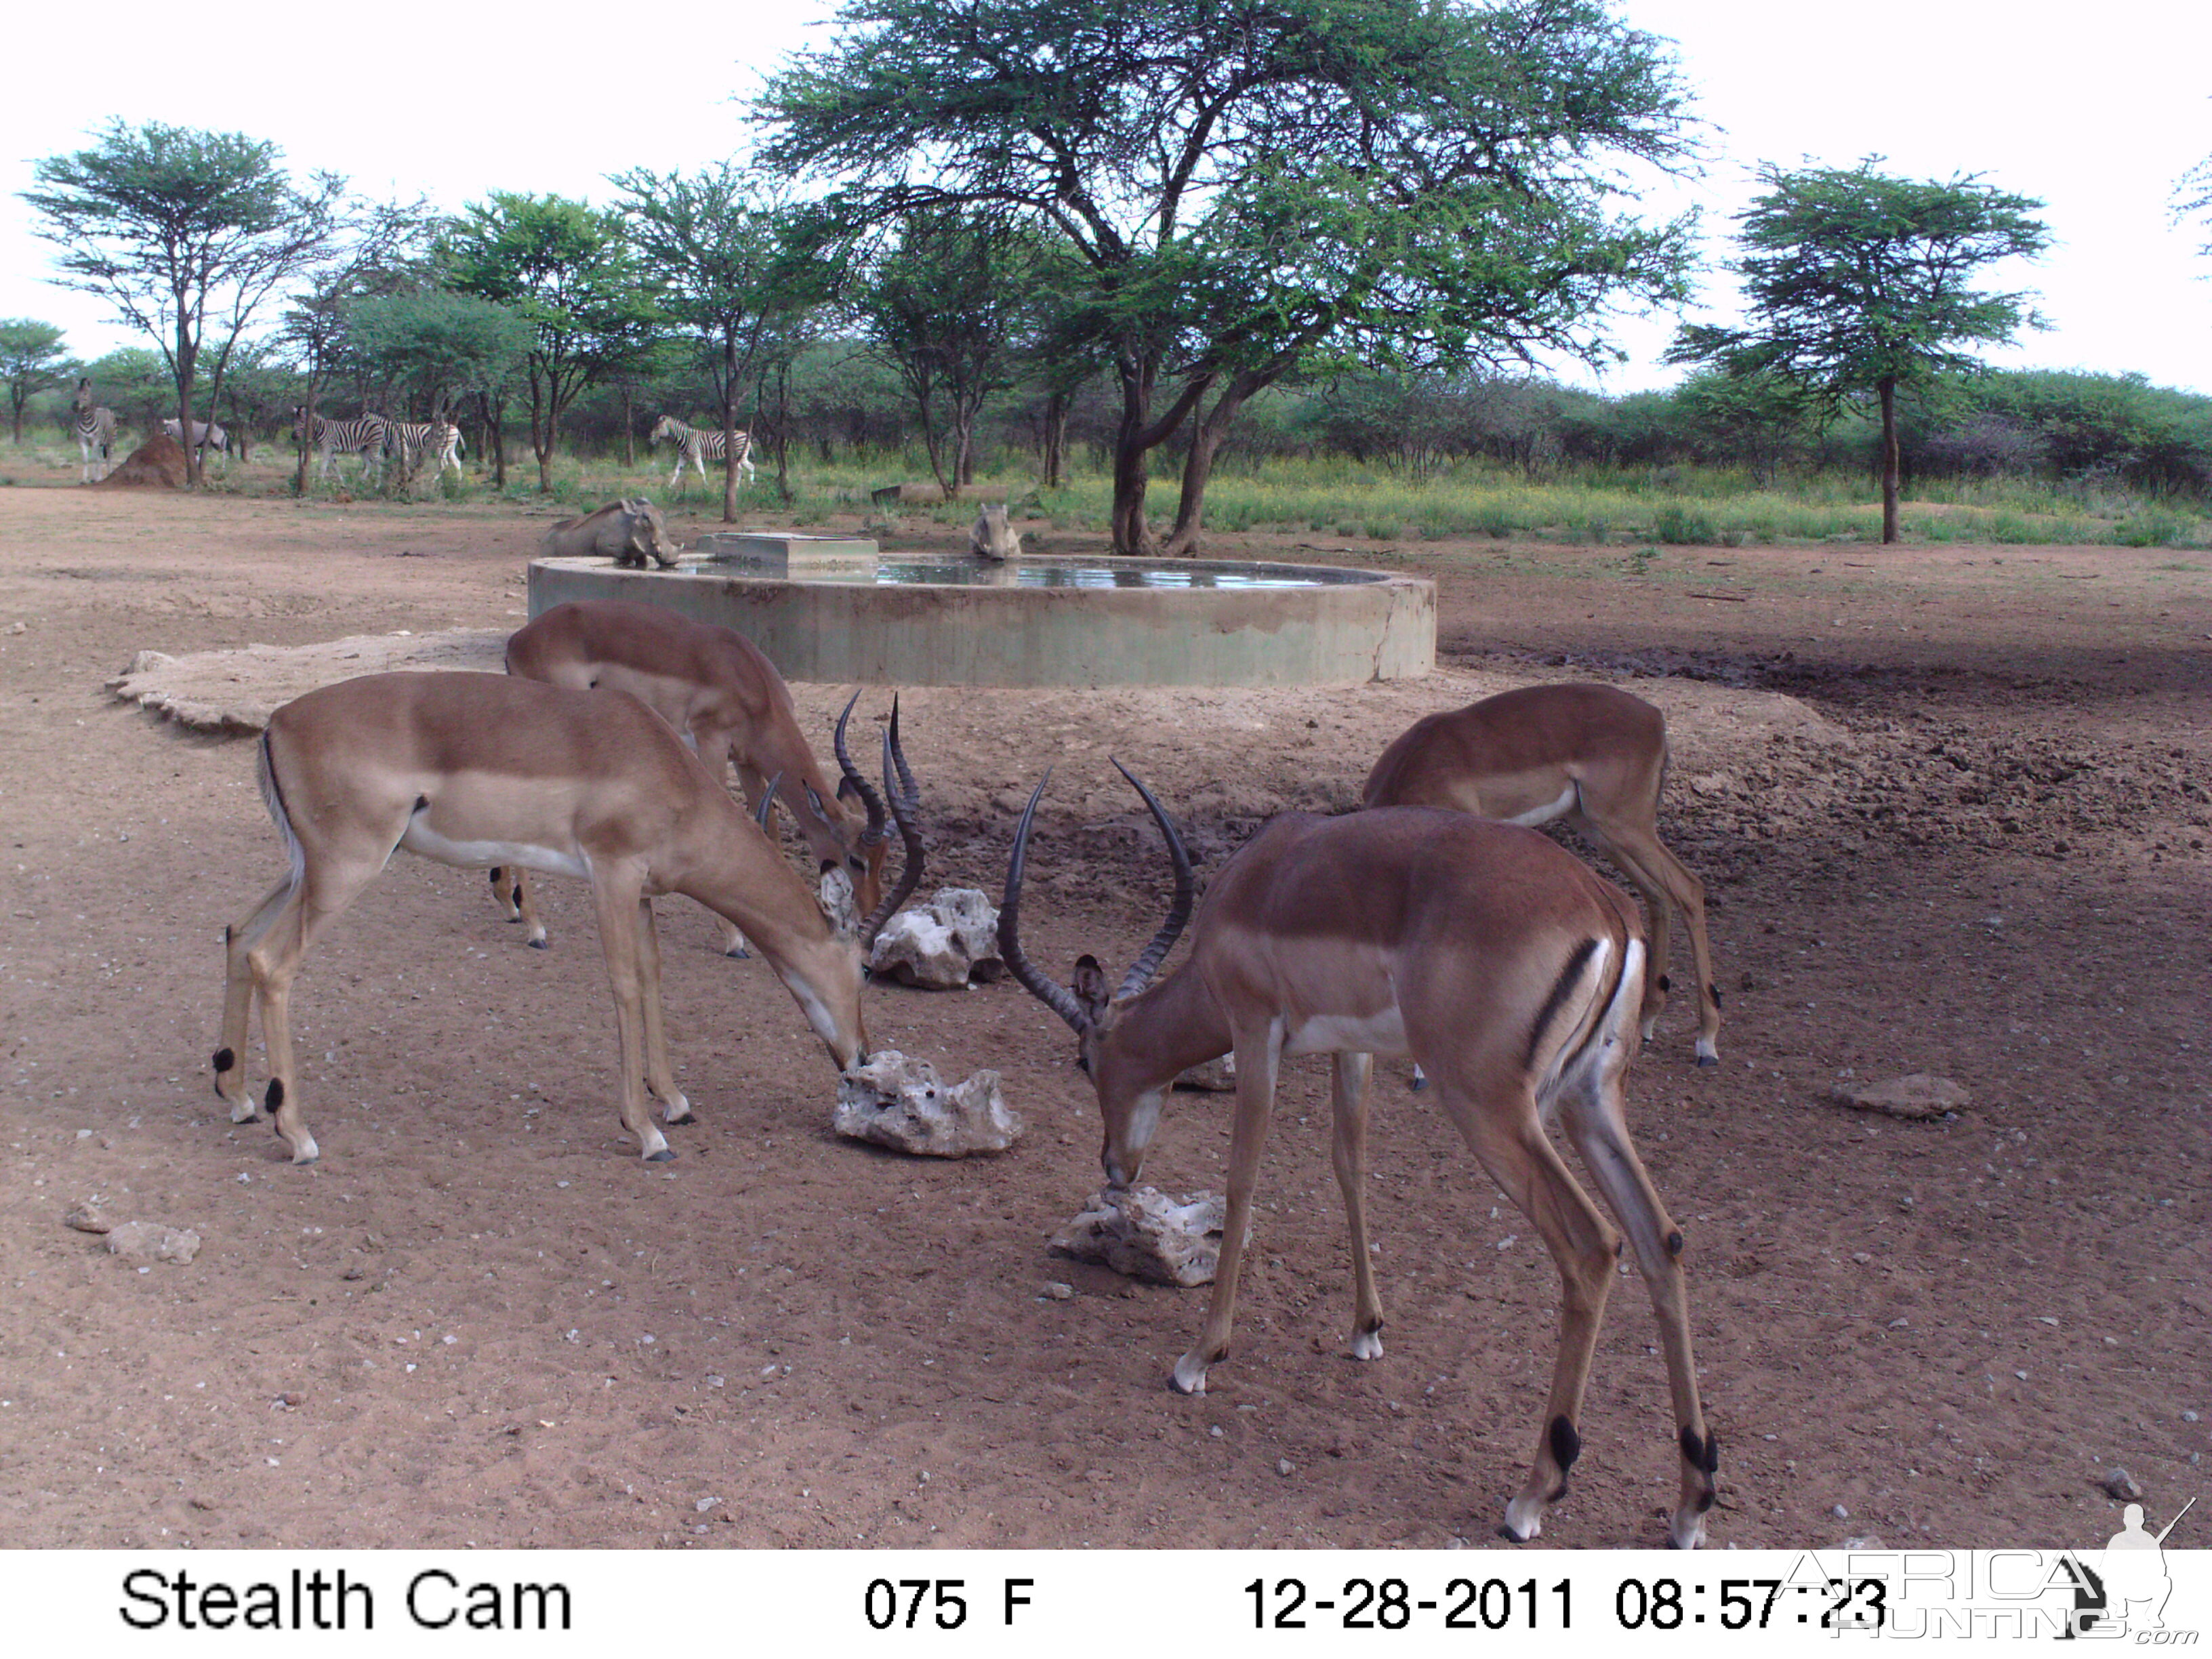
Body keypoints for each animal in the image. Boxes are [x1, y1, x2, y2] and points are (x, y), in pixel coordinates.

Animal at [73, 378, 116, 480]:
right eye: (75, 393)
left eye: (85, 394)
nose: (74, 406)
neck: (86, 421)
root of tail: (105, 409)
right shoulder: (83, 440)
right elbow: (86, 460)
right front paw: (85, 480)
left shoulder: (95, 440)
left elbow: (94, 459)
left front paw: (94, 478)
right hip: (101, 444)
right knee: (100, 458)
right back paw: (99, 477)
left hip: (111, 440)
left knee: (109, 458)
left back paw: (109, 475)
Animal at [291, 413, 391, 484]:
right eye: (294, 421)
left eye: (302, 421)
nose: (293, 437)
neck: (321, 429)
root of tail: (378, 424)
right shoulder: (331, 450)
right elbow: (336, 466)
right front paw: (342, 482)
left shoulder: (327, 448)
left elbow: (324, 466)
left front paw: (320, 482)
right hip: (363, 449)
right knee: (369, 464)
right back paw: (361, 481)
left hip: (374, 445)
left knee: (378, 465)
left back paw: (377, 485)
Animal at [646, 417, 756, 491]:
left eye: (657, 428)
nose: (650, 440)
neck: (683, 438)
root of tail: (746, 434)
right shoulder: (683, 457)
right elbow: (676, 472)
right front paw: (670, 487)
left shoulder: (696, 455)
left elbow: (701, 472)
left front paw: (705, 487)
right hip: (738, 457)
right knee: (741, 469)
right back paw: (737, 487)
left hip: (740, 454)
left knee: (751, 467)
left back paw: (751, 487)